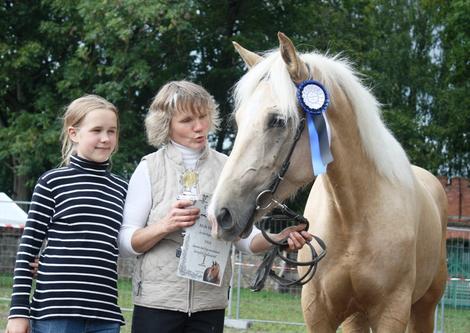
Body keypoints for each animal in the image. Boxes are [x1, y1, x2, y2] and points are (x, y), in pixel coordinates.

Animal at [210, 31, 448, 332]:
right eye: (239, 121)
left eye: (277, 120)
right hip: (356, 316)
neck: (353, 216)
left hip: (424, 307)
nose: (220, 215)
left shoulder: (392, 312)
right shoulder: (318, 311)